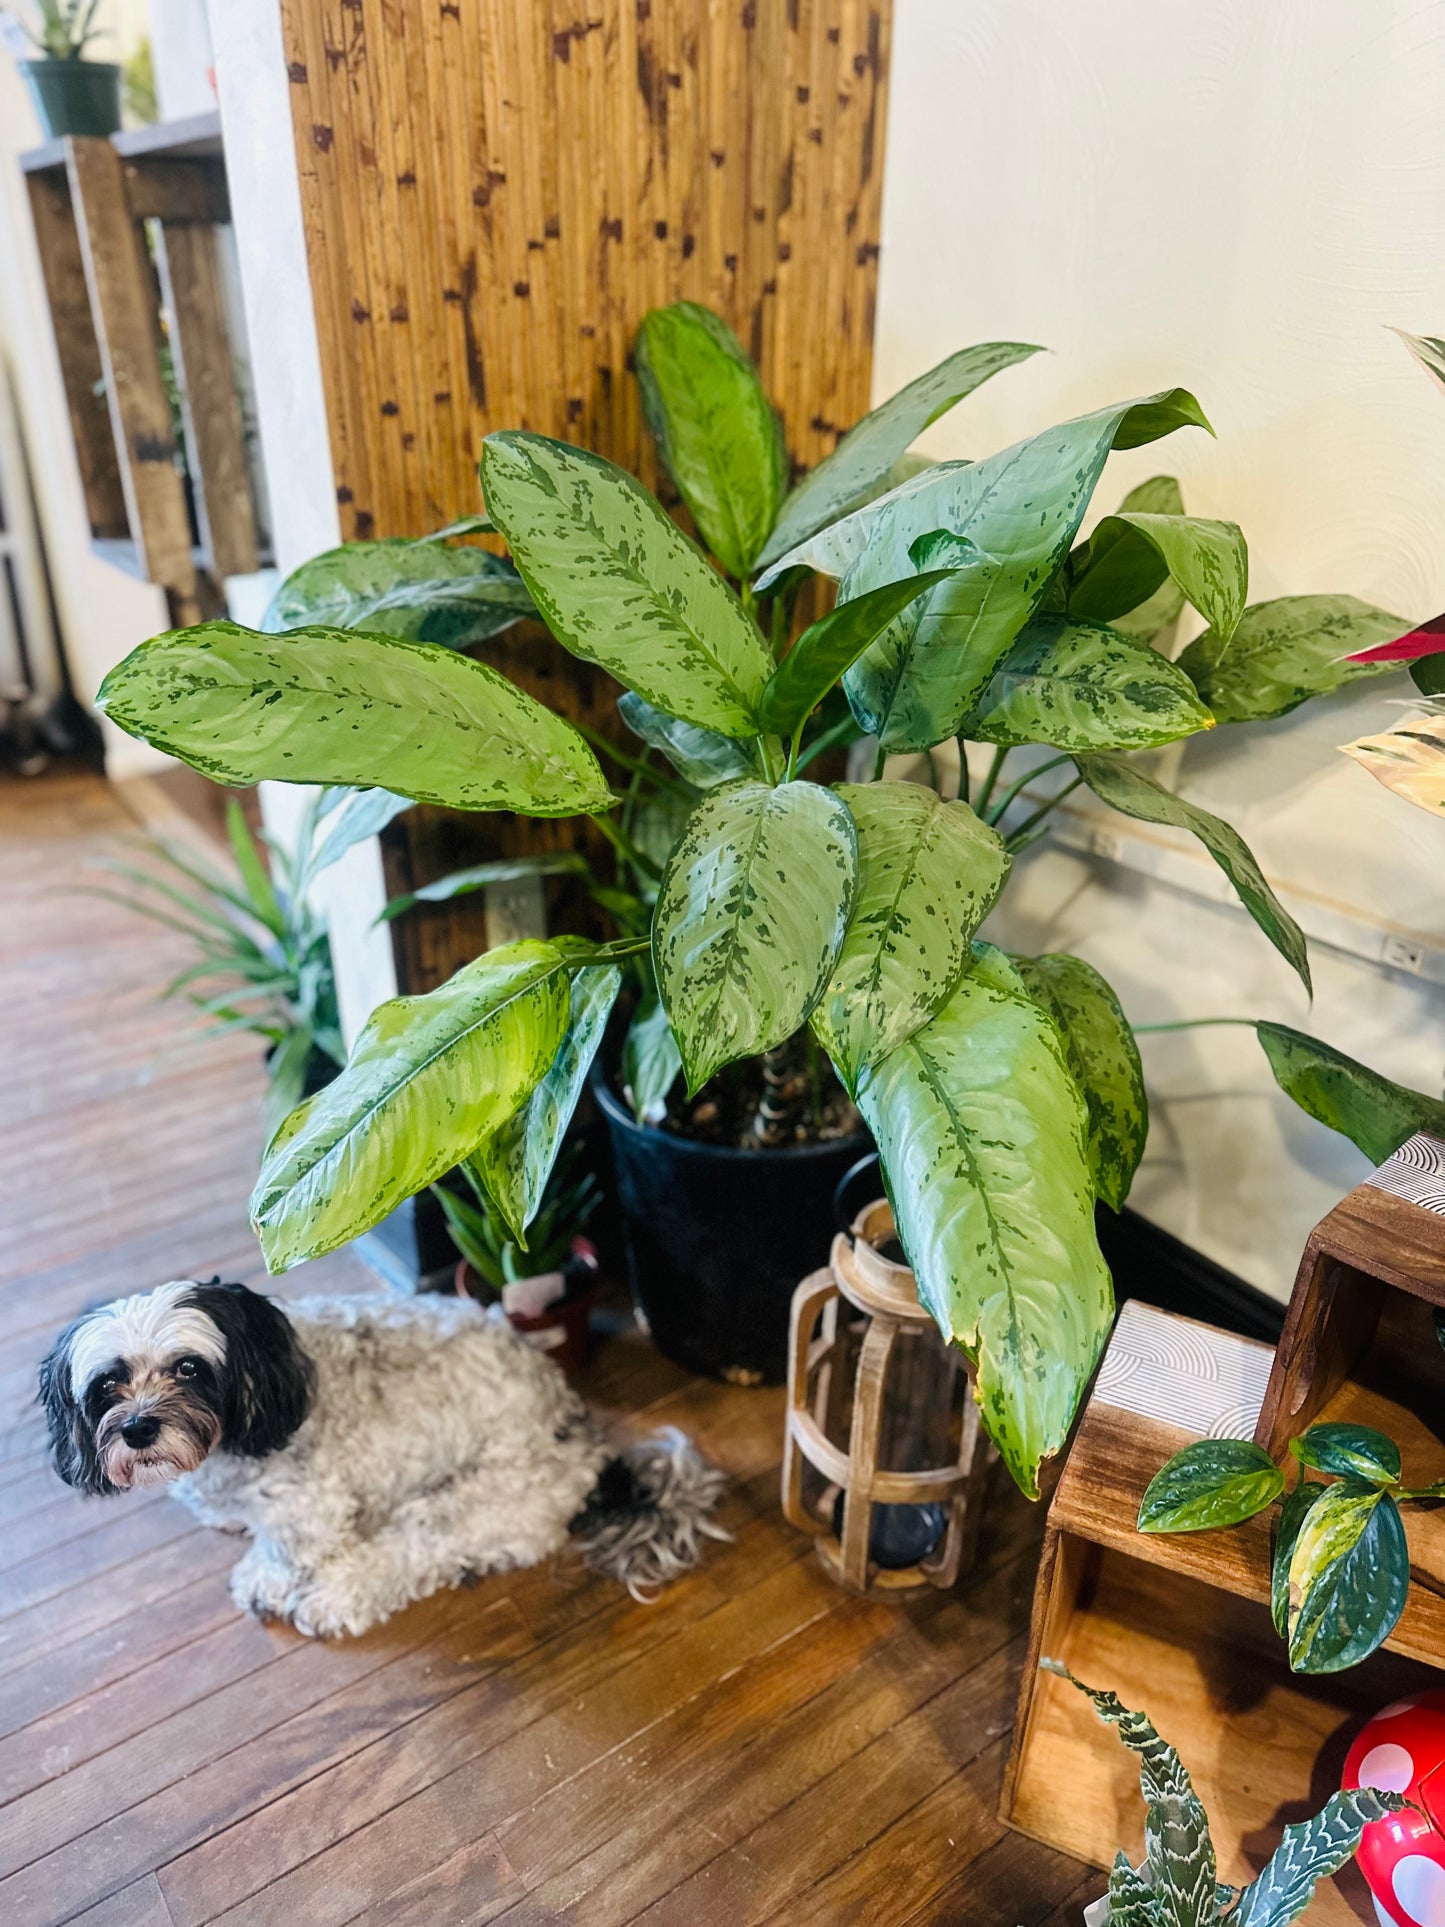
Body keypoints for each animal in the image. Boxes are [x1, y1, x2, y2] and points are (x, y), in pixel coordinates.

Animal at [39, 1287, 728, 1634]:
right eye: (108, 1383)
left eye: (188, 1368)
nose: (138, 1428)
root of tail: (588, 1450)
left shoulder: (310, 1505)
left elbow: (291, 1547)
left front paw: (274, 1578)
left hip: (470, 1498)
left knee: (410, 1551)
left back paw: (336, 1598)